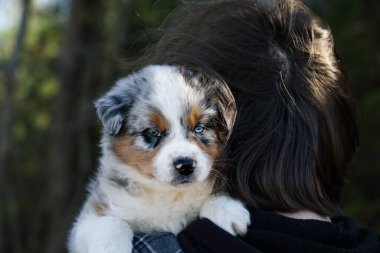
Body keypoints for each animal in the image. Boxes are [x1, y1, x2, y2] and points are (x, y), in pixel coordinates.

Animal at [68, 64, 251, 252]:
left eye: (199, 128)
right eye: (152, 132)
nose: (185, 165)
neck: (168, 194)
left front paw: (225, 209)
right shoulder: (89, 218)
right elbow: (112, 222)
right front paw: (111, 246)